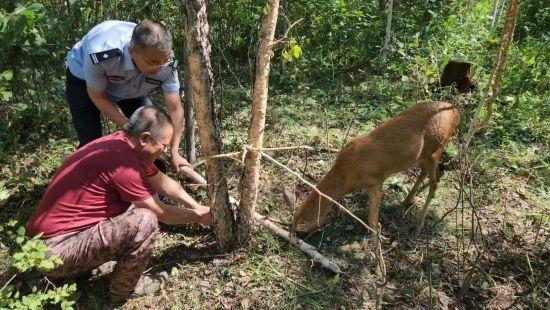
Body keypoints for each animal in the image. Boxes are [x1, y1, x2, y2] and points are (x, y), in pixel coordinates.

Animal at [294, 101, 462, 235]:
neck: (346, 174)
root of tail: (456, 111)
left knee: (435, 183)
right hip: (422, 156)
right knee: (424, 173)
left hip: (437, 148)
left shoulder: (375, 181)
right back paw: (406, 201)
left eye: (300, 230)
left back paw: (418, 226)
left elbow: (372, 220)